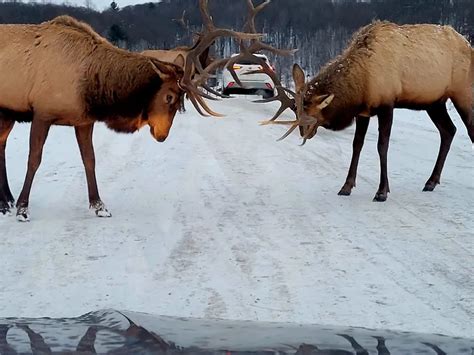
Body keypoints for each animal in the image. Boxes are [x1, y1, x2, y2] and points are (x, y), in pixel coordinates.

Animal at [0, 13, 258, 222]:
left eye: (179, 99)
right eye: (169, 97)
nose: (162, 135)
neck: (92, 88)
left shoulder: (83, 120)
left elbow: (89, 160)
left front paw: (99, 206)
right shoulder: (42, 113)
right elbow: (34, 160)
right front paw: (23, 209)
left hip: (7, 114)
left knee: (1, 145)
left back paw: (6, 200)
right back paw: (9, 202)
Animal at [264, 20, 472, 202]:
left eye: (312, 114)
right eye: (296, 110)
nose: (303, 132)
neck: (362, 85)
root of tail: (469, 46)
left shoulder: (387, 105)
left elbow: (382, 146)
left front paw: (382, 191)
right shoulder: (363, 112)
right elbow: (357, 145)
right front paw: (346, 186)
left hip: (463, 93)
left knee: (469, 130)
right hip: (435, 102)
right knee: (449, 130)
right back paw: (431, 181)